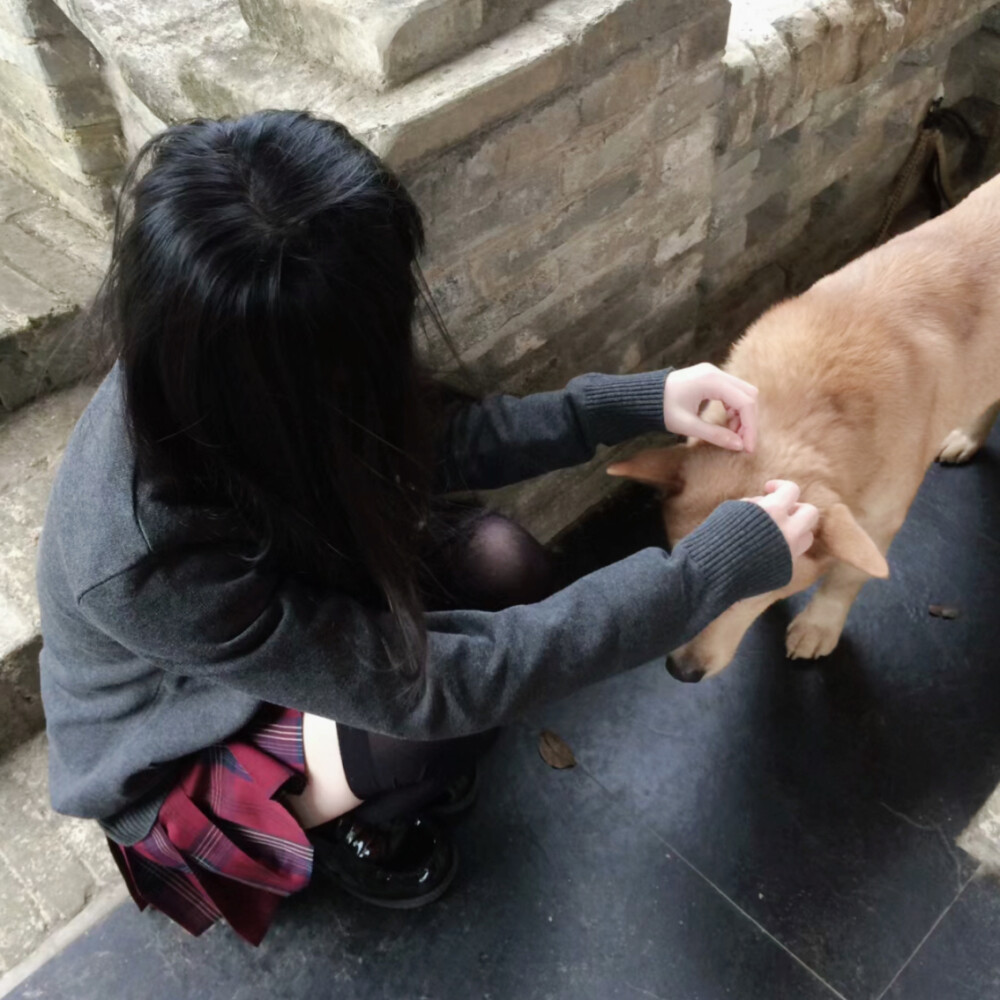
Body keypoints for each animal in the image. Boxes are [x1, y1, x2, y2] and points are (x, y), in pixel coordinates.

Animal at [604, 176, 1000, 684]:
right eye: (685, 562)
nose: (682, 671)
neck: (804, 406)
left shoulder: (877, 519)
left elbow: (846, 578)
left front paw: (820, 624)